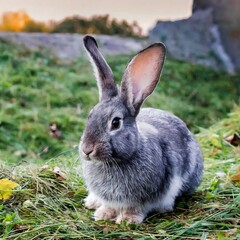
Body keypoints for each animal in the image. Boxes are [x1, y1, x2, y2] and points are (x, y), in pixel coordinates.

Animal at [79, 35, 203, 223]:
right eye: (90, 116)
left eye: (116, 123)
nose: (87, 149)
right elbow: (108, 205)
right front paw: (104, 214)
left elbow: (135, 207)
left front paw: (128, 219)